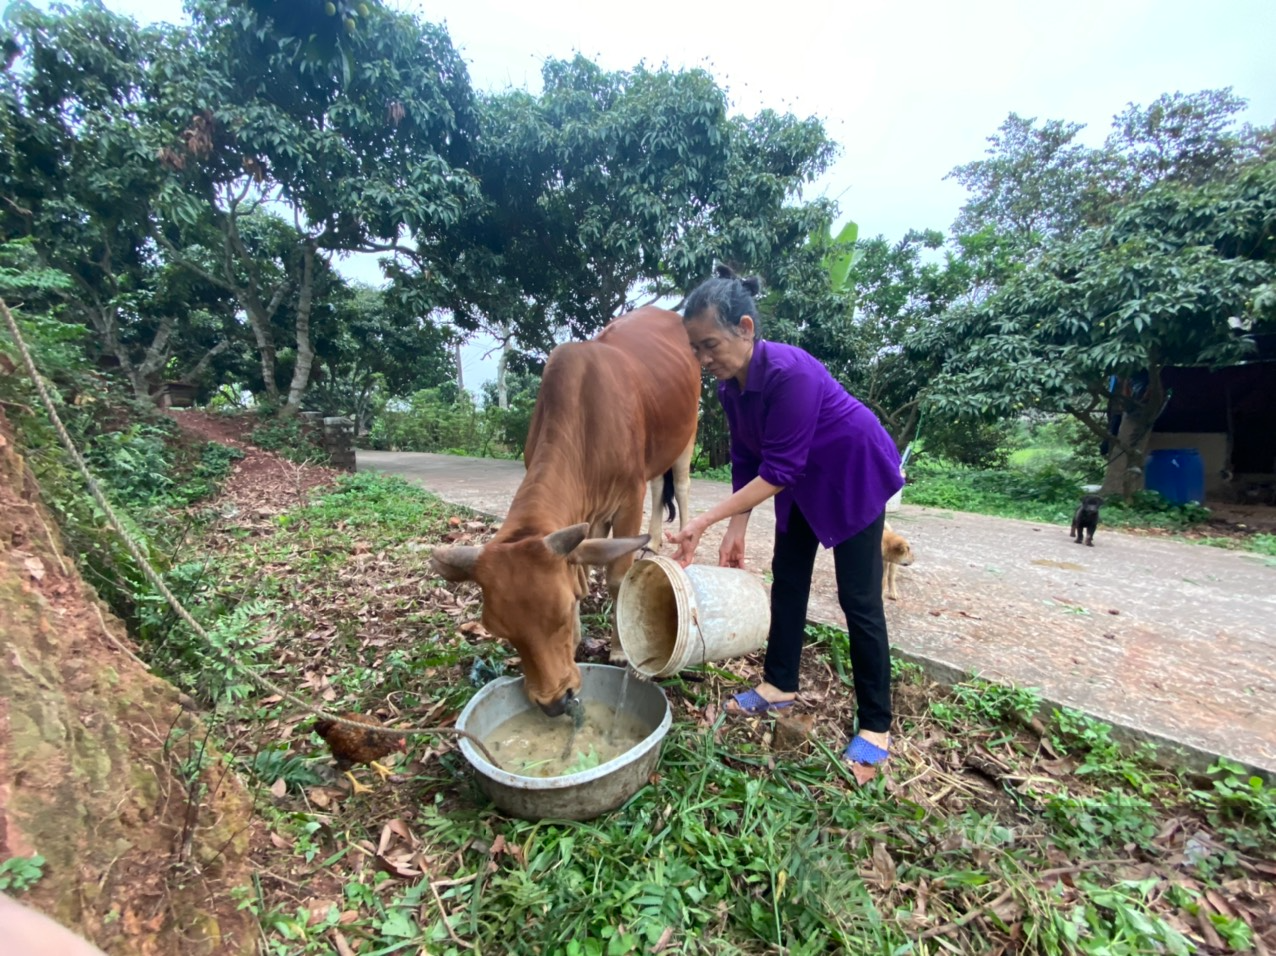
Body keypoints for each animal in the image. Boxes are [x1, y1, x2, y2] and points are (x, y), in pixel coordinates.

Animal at [433, 310, 704, 714]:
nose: (554, 701)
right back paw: (652, 541)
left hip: (686, 435)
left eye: (559, 615)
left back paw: (682, 547)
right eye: (501, 631)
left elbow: (617, 579)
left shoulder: (629, 496)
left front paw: (619, 649)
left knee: (681, 486)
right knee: (658, 487)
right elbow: (582, 561)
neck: (586, 420)